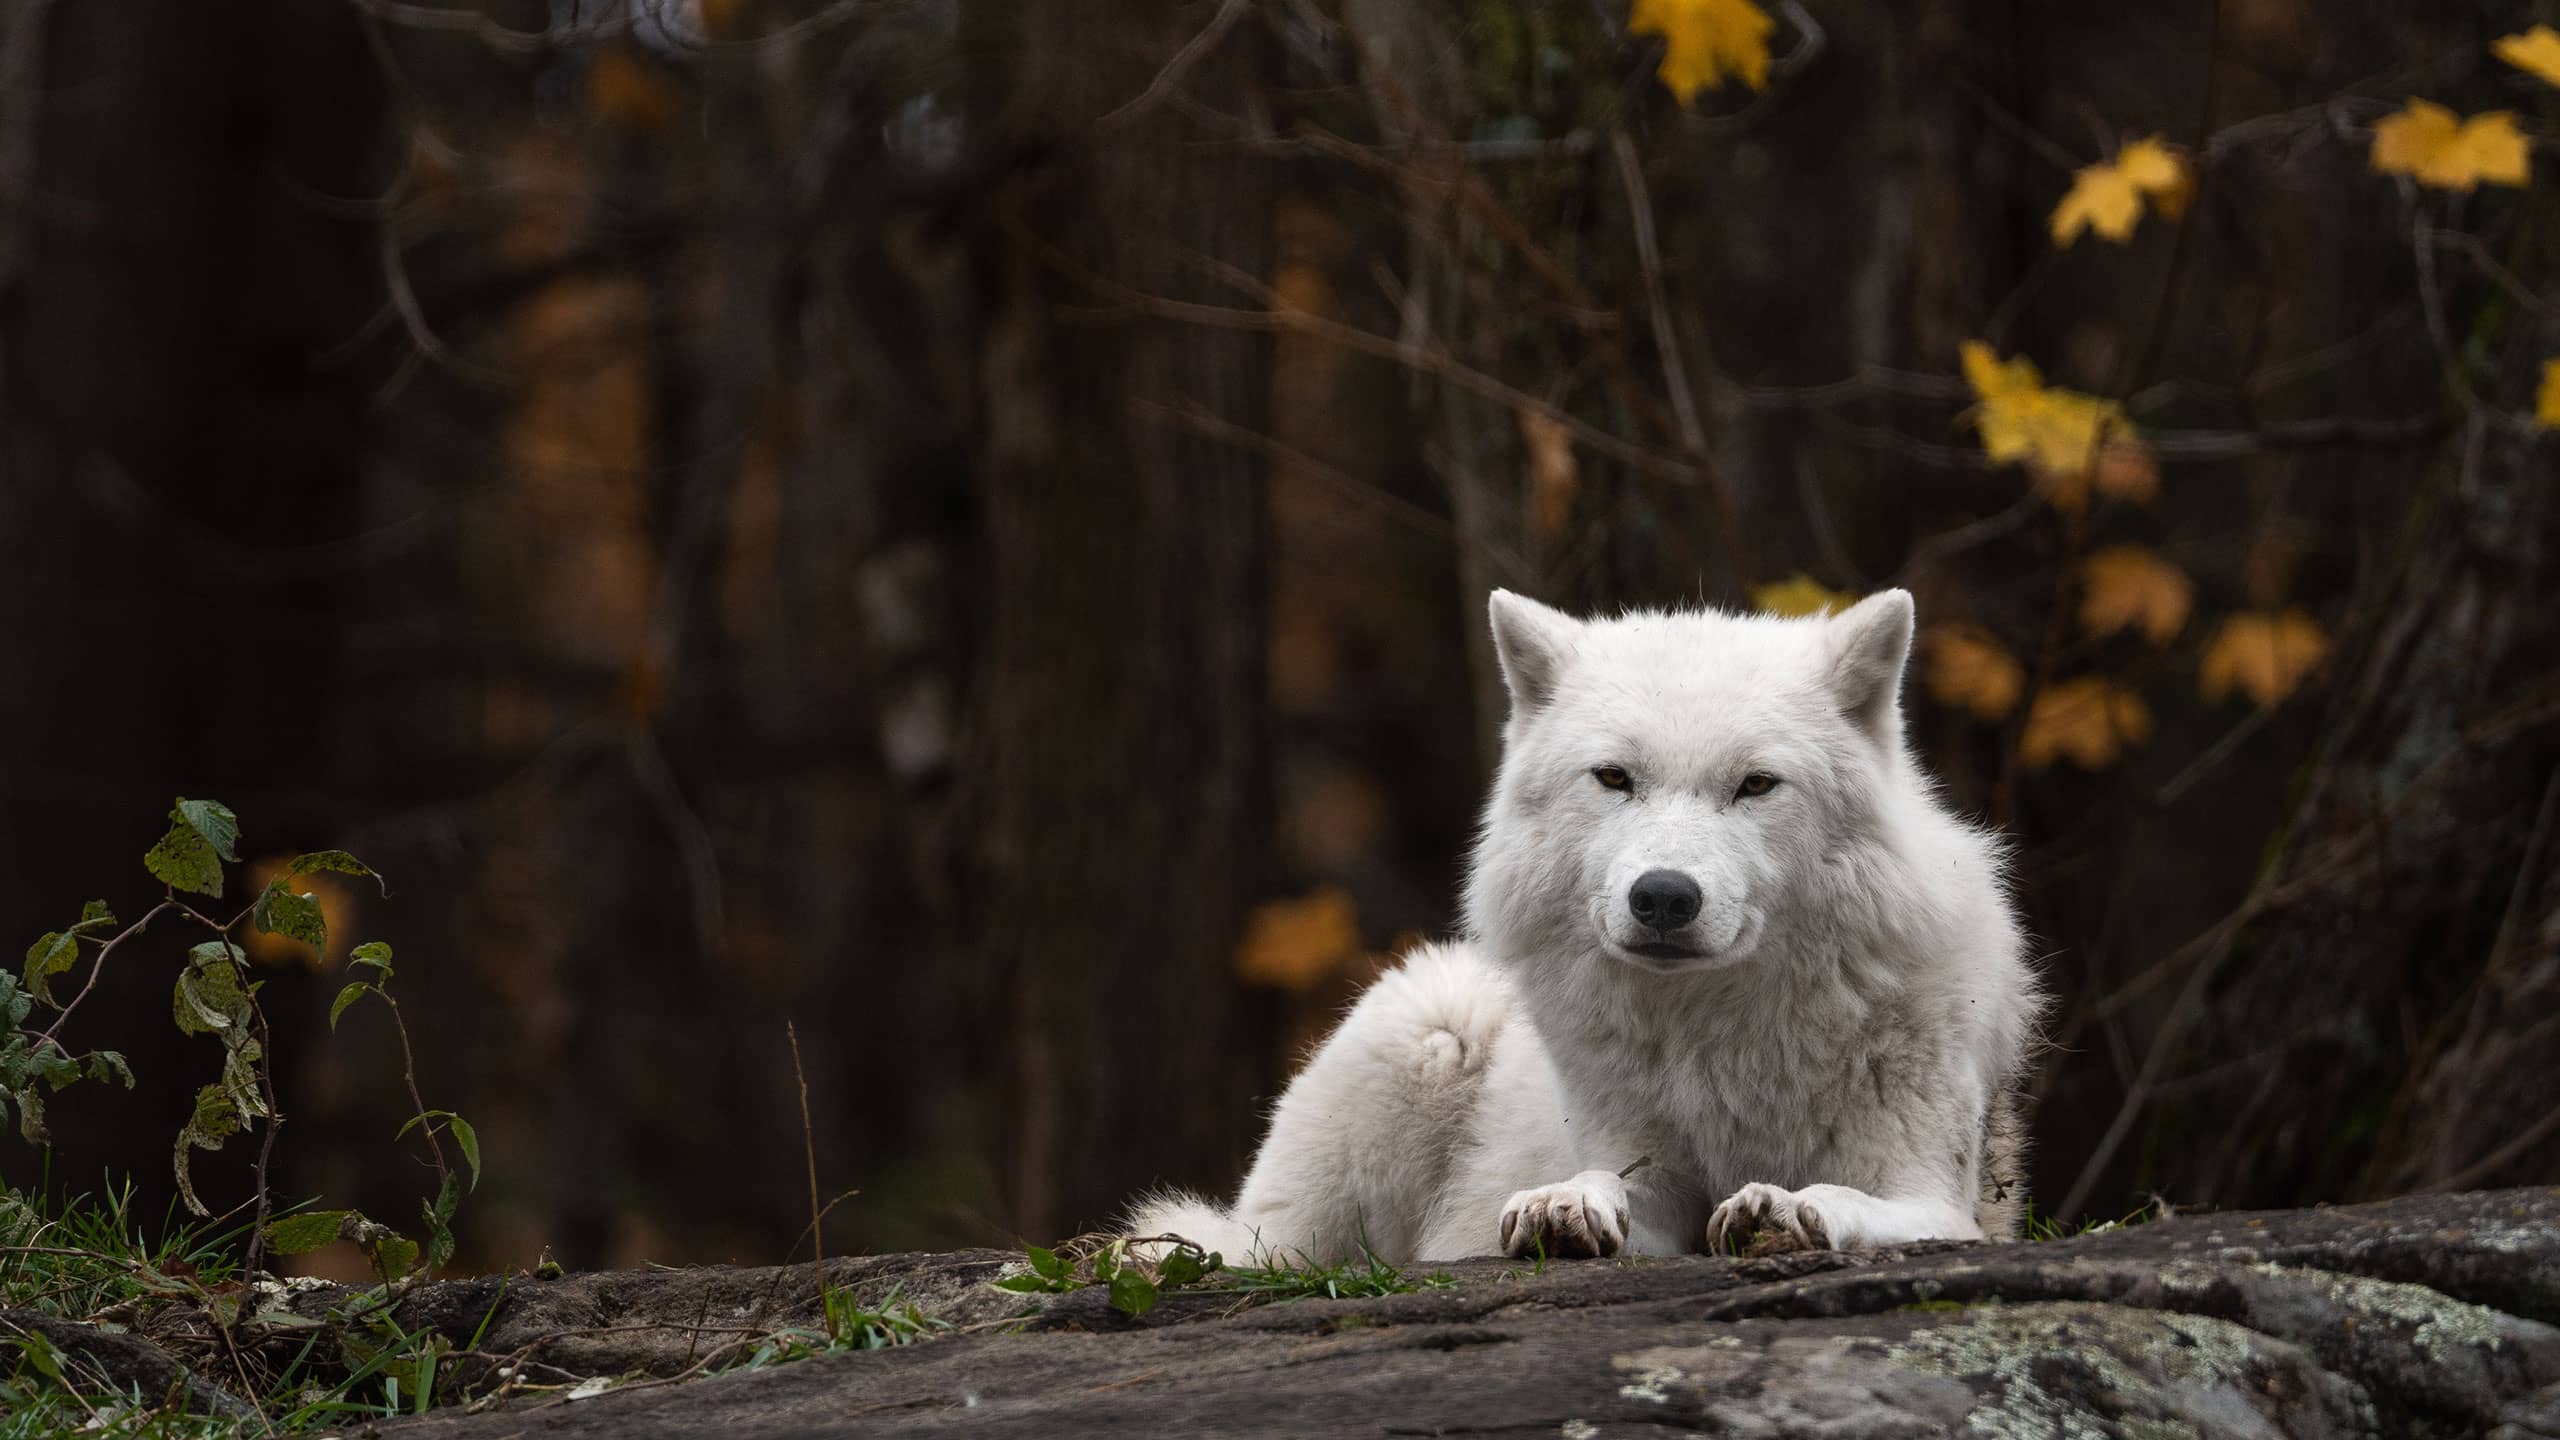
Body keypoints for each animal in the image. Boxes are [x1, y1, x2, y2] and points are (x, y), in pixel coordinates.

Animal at [1131, 586, 2048, 1255]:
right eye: (1613, 777)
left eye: (1756, 785)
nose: (1664, 897)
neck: (1723, 1043)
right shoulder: (1645, 1173)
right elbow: (1609, 1186)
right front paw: (1563, 1207)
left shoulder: (1940, 1198)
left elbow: (1846, 1197)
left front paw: (1783, 1208)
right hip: (1425, 1026)